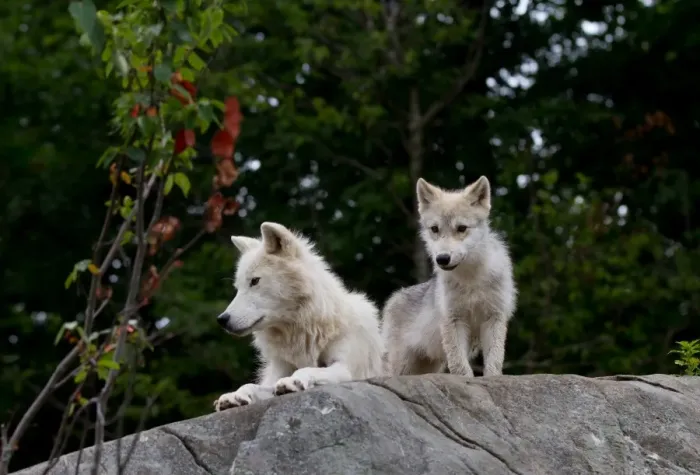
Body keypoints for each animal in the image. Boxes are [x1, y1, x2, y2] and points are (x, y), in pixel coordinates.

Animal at [213, 221, 384, 411]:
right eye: (238, 287)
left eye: (255, 281)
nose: (222, 319)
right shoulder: (277, 373)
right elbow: (250, 385)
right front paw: (234, 396)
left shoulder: (346, 368)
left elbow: (308, 369)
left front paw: (293, 381)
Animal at [381, 176, 516, 377]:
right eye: (435, 229)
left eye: (461, 228)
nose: (442, 258)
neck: (470, 279)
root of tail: (394, 298)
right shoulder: (453, 320)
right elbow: (460, 367)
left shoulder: (494, 317)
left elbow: (494, 362)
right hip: (401, 366)